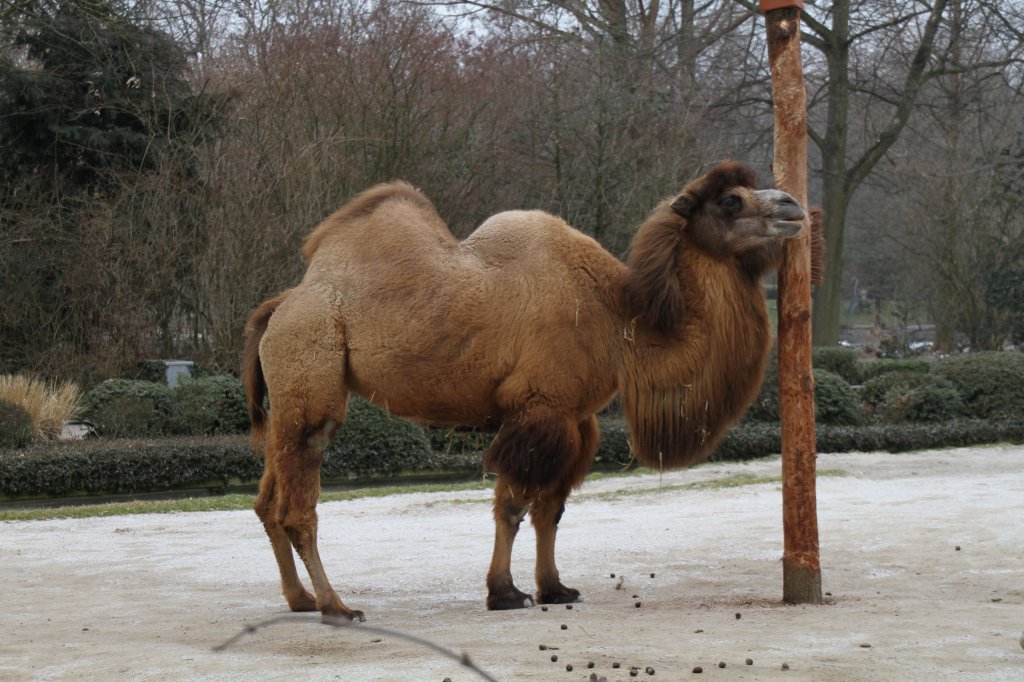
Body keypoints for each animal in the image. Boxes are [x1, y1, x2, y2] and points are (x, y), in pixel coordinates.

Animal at [243, 161, 802, 618]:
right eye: (730, 201)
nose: (793, 206)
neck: (619, 319)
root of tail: (280, 306)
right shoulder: (539, 408)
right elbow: (512, 505)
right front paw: (506, 593)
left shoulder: (577, 418)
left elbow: (551, 509)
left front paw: (555, 588)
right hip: (311, 372)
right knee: (298, 506)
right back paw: (336, 606)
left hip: (288, 398)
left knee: (267, 501)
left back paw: (300, 599)